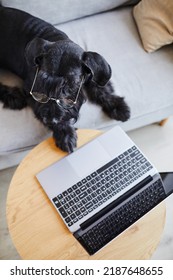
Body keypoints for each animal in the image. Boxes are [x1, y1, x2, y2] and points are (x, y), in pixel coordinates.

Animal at [0, 4, 130, 152]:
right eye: (41, 81)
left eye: (71, 84)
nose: (51, 120)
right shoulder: (30, 89)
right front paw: (65, 133)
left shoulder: (89, 73)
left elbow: (101, 89)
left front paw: (118, 107)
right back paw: (14, 97)